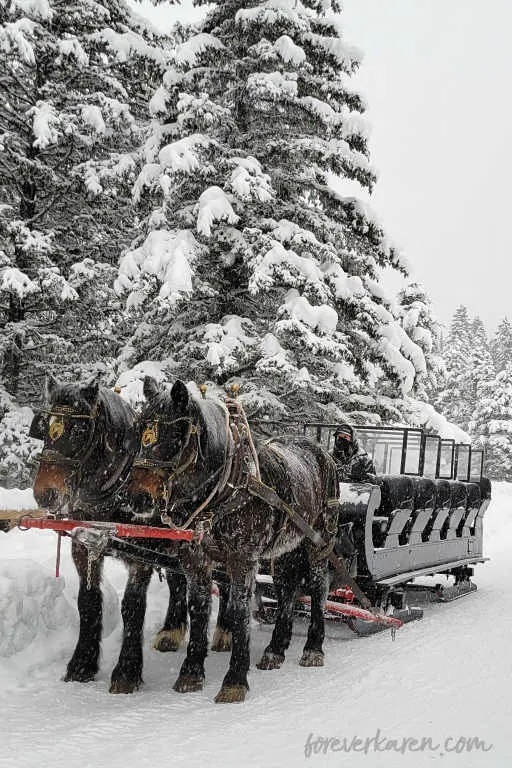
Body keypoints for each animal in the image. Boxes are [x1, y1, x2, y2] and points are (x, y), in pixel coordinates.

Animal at [28, 376, 228, 692]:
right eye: (45, 426)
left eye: (80, 429)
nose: (45, 494)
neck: (113, 490)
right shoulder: (85, 547)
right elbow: (88, 601)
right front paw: (81, 664)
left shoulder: (141, 554)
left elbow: (132, 606)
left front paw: (126, 672)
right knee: (178, 582)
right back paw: (171, 631)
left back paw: (225, 632)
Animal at [128, 376, 338, 704]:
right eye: (139, 430)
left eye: (175, 434)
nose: (139, 498)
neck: (225, 486)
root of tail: (323, 452)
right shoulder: (195, 560)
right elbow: (199, 609)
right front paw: (191, 672)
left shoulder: (243, 559)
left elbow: (240, 610)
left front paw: (235, 679)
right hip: (286, 549)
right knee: (287, 590)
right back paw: (275, 649)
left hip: (319, 543)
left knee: (318, 589)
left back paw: (313, 648)